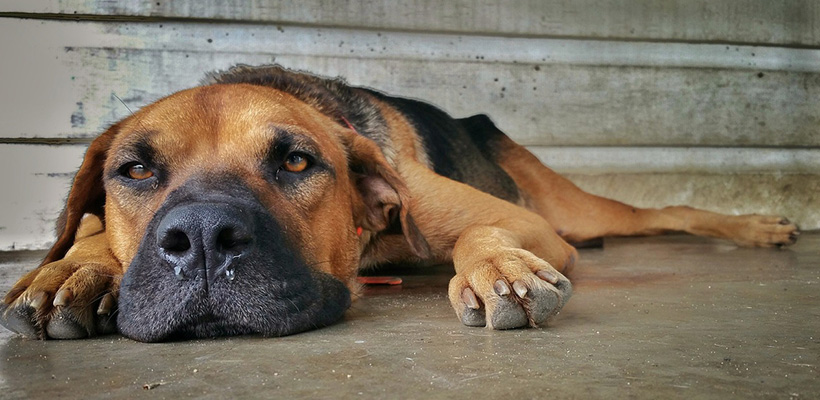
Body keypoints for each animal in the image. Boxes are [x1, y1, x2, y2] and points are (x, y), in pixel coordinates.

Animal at [0, 65, 800, 340]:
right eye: (135, 170)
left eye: (296, 161)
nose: (200, 239)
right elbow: (87, 237)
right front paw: (71, 269)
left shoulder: (526, 221)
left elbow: (483, 236)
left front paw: (499, 270)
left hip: (570, 209)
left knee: (664, 213)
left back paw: (760, 226)